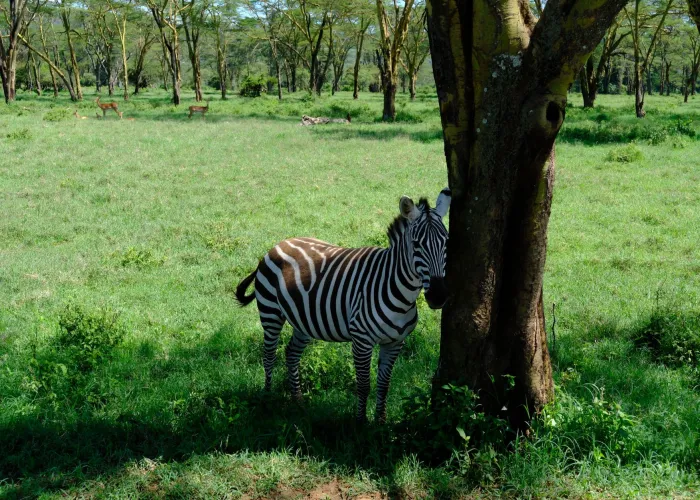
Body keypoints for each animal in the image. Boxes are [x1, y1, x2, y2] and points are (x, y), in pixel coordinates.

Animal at [235, 189, 451, 423]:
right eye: (416, 244)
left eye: (447, 242)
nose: (438, 296)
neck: (401, 294)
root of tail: (277, 245)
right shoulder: (362, 340)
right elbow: (364, 385)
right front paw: (361, 423)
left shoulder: (395, 343)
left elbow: (384, 385)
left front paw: (381, 423)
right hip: (270, 313)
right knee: (269, 355)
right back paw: (267, 399)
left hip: (304, 320)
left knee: (291, 353)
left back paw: (298, 402)